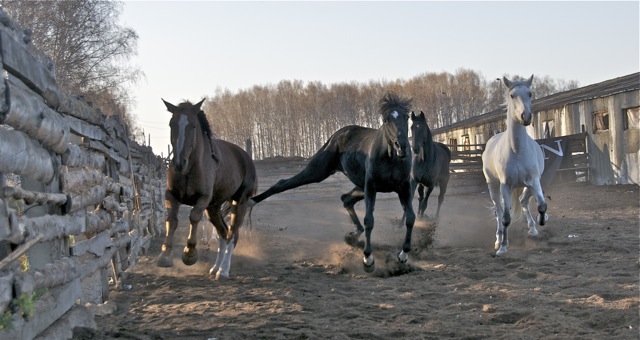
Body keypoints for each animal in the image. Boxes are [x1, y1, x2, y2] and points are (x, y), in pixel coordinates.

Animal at [250, 91, 416, 272]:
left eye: (406, 117)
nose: (402, 146)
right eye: (386, 120)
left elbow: (410, 218)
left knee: (346, 199)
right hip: (318, 171)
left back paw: (352, 236)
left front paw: (403, 255)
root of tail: (337, 134)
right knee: (283, 183)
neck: (390, 158)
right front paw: (368, 260)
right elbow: (369, 221)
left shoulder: (403, 187)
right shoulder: (371, 187)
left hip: (358, 186)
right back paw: (251, 203)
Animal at [482, 74, 548, 255]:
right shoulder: (505, 186)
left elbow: (542, 205)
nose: (526, 117)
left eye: (530, 93)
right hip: (493, 186)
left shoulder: (534, 181)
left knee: (523, 201)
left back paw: (533, 228)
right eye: (512, 95)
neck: (517, 150)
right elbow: (505, 218)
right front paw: (503, 247)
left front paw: (542, 220)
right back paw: (498, 240)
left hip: (526, 186)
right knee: (498, 211)